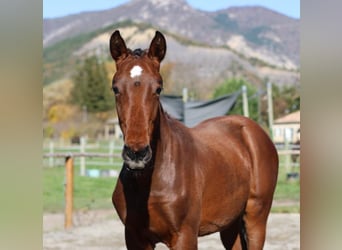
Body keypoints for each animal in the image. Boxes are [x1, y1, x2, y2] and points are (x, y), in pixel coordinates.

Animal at [109, 30, 278, 249]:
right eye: (115, 88)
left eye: (158, 89)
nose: (137, 154)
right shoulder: (135, 238)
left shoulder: (185, 236)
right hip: (230, 225)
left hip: (256, 220)